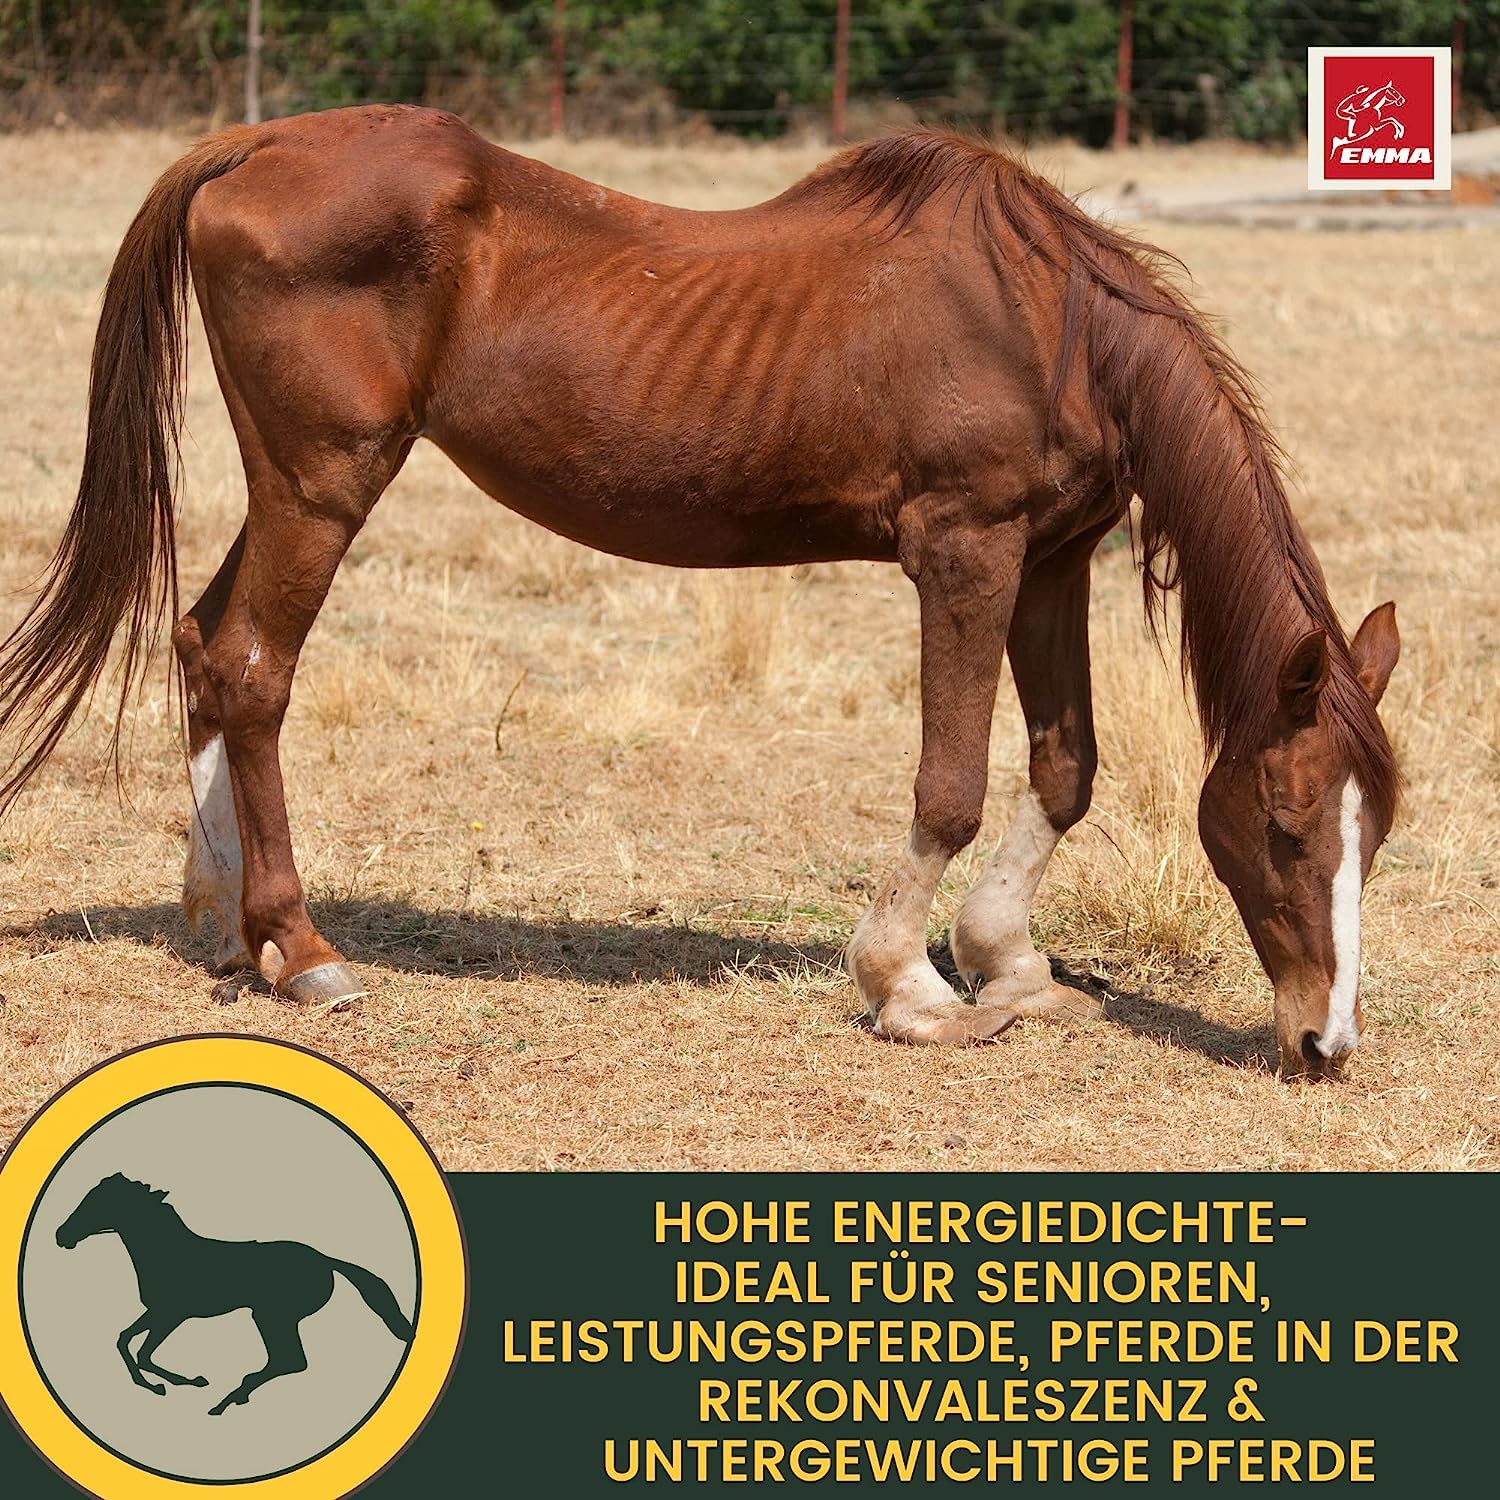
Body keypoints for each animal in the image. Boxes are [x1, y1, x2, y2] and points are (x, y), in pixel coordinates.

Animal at [0, 110, 1400, 1077]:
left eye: (1374, 832)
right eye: (1285, 824)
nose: (1324, 1045)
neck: (1048, 322)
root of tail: (254, 142)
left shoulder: (1051, 560)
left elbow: (1066, 769)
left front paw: (1007, 961)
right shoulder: (965, 553)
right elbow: (949, 784)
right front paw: (908, 987)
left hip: (293, 485)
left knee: (202, 642)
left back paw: (218, 916)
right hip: (324, 483)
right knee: (253, 670)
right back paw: (302, 952)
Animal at [53, 1172, 413, 1415]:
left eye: (97, 1203)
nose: (61, 1235)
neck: (167, 1251)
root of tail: (325, 1260)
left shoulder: (172, 1314)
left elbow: (142, 1352)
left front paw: (177, 1383)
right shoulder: (158, 1312)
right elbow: (125, 1341)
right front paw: (161, 1385)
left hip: (272, 1315)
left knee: (290, 1360)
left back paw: (226, 1400)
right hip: (275, 1318)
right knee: (288, 1361)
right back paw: (233, 1396)